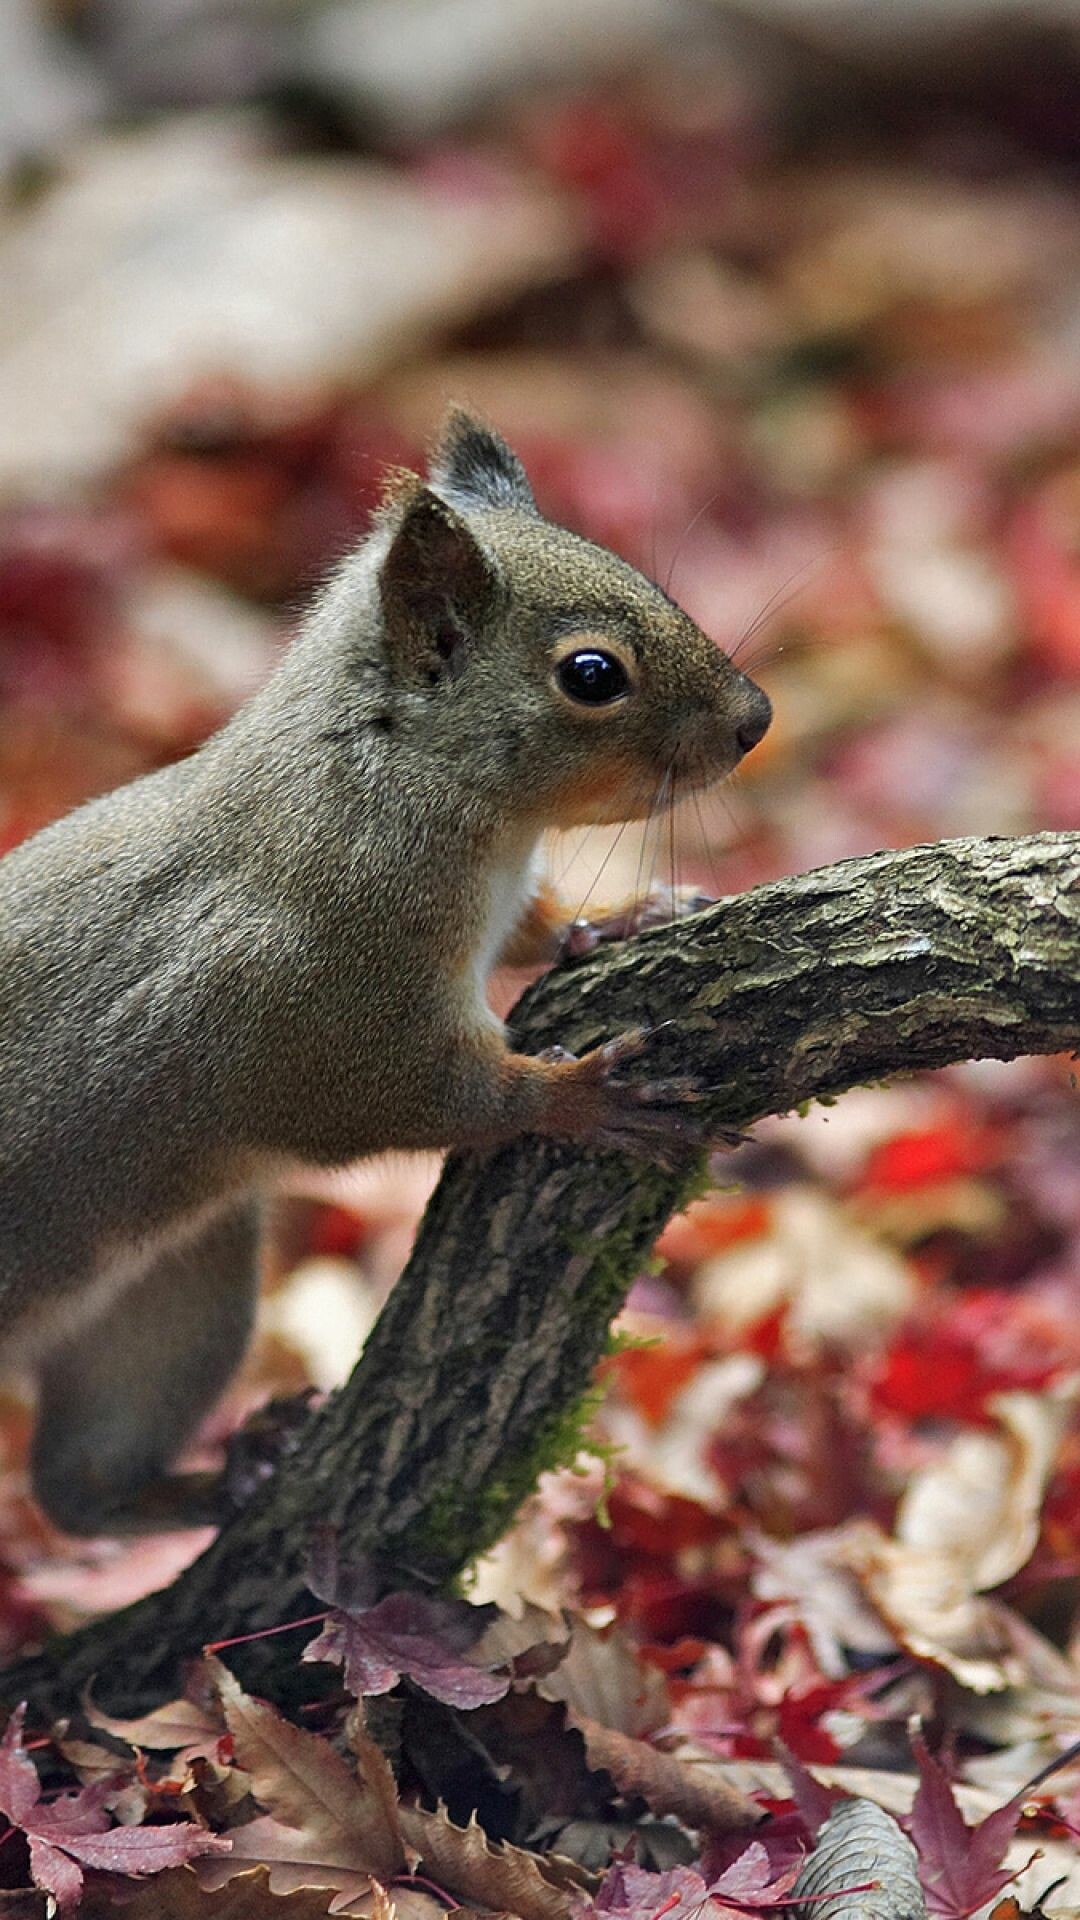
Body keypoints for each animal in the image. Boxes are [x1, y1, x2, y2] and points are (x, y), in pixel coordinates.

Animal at [0, 412, 764, 1536]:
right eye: (591, 674)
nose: (757, 720)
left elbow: (535, 932)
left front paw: (624, 916)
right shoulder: (325, 1013)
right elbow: (419, 1098)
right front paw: (579, 1097)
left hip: (172, 1297)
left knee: (79, 1487)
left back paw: (226, 1474)